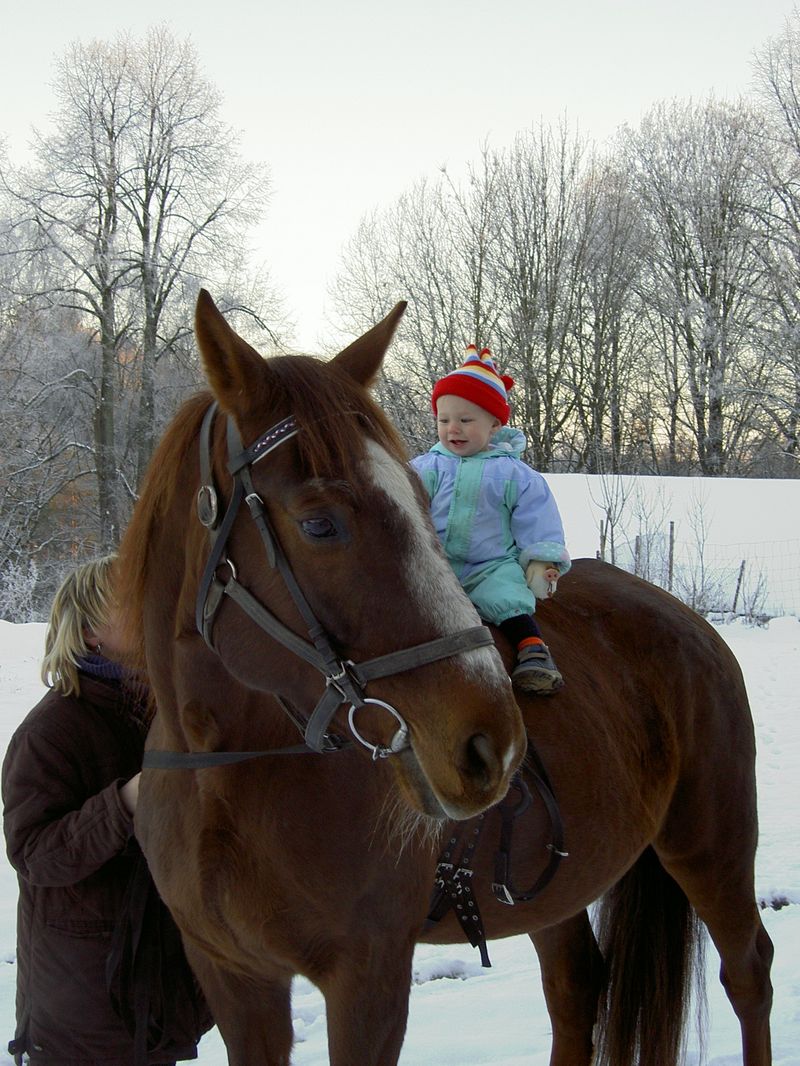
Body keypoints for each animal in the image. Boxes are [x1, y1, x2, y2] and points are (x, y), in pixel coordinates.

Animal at [115, 292, 772, 1066]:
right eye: (319, 524)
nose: (492, 743)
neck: (225, 778)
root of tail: (691, 624)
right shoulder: (234, 979)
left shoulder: (368, 978)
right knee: (577, 987)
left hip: (710, 847)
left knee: (748, 972)